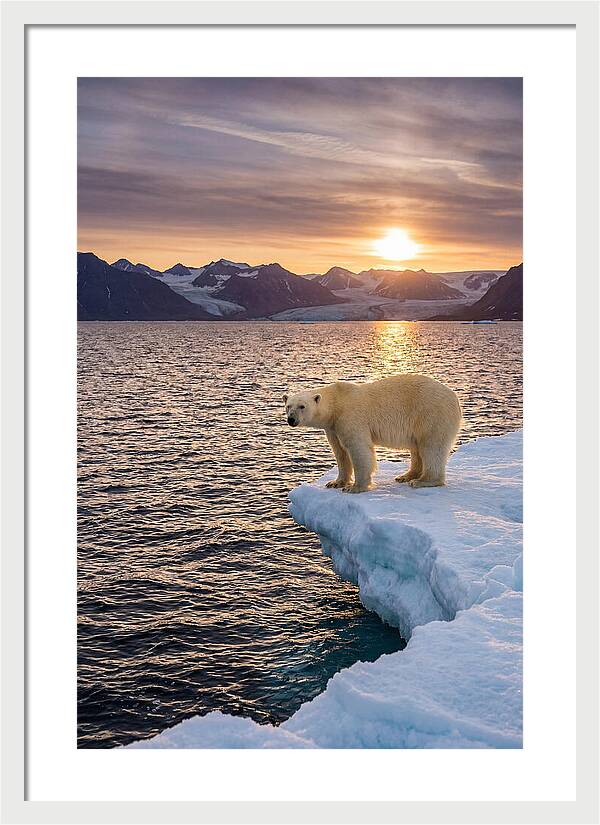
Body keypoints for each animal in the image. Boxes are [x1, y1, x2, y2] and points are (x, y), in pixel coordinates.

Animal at [283, 374, 461, 493]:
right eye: (288, 406)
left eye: (302, 406)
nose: (291, 419)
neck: (336, 403)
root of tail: (455, 397)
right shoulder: (333, 427)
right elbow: (340, 452)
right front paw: (335, 483)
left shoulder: (350, 417)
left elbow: (358, 449)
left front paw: (355, 487)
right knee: (417, 448)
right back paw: (406, 476)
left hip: (431, 414)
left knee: (431, 447)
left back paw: (422, 481)